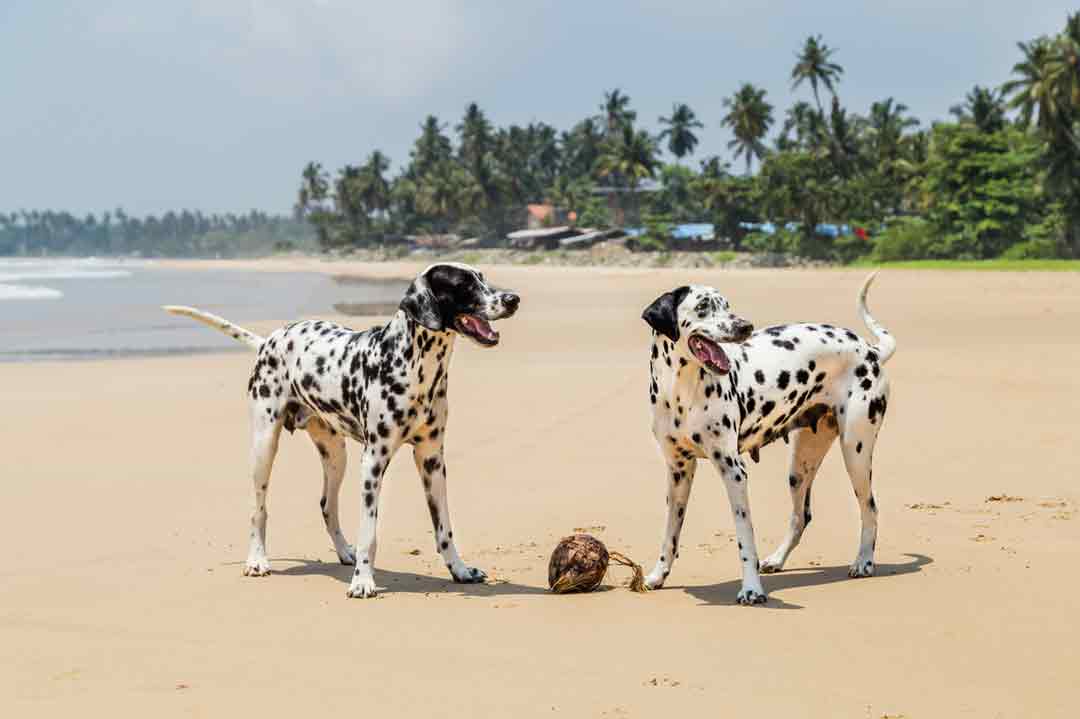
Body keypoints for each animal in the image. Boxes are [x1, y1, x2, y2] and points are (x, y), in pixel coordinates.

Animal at [164, 260, 522, 595]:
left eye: (482, 277)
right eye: (463, 284)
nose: (513, 299)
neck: (414, 367)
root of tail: (269, 341)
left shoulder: (432, 460)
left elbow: (444, 528)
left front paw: (459, 570)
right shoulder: (373, 462)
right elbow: (369, 533)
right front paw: (363, 581)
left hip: (336, 456)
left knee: (327, 505)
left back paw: (344, 552)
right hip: (265, 446)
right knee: (259, 510)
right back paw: (257, 560)